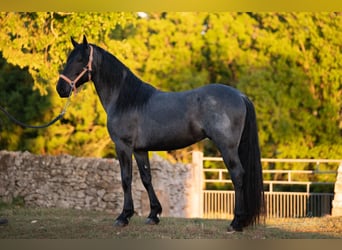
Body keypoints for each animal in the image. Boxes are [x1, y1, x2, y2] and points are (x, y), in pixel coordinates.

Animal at [56, 35, 264, 232]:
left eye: (80, 59)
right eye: (68, 58)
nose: (61, 88)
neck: (126, 100)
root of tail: (240, 96)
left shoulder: (123, 146)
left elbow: (126, 179)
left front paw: (124, 216)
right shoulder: (140, 149)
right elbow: (146, 178)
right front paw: (153, 214)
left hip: (227, 147)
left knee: (237, 175)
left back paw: (236, 222)